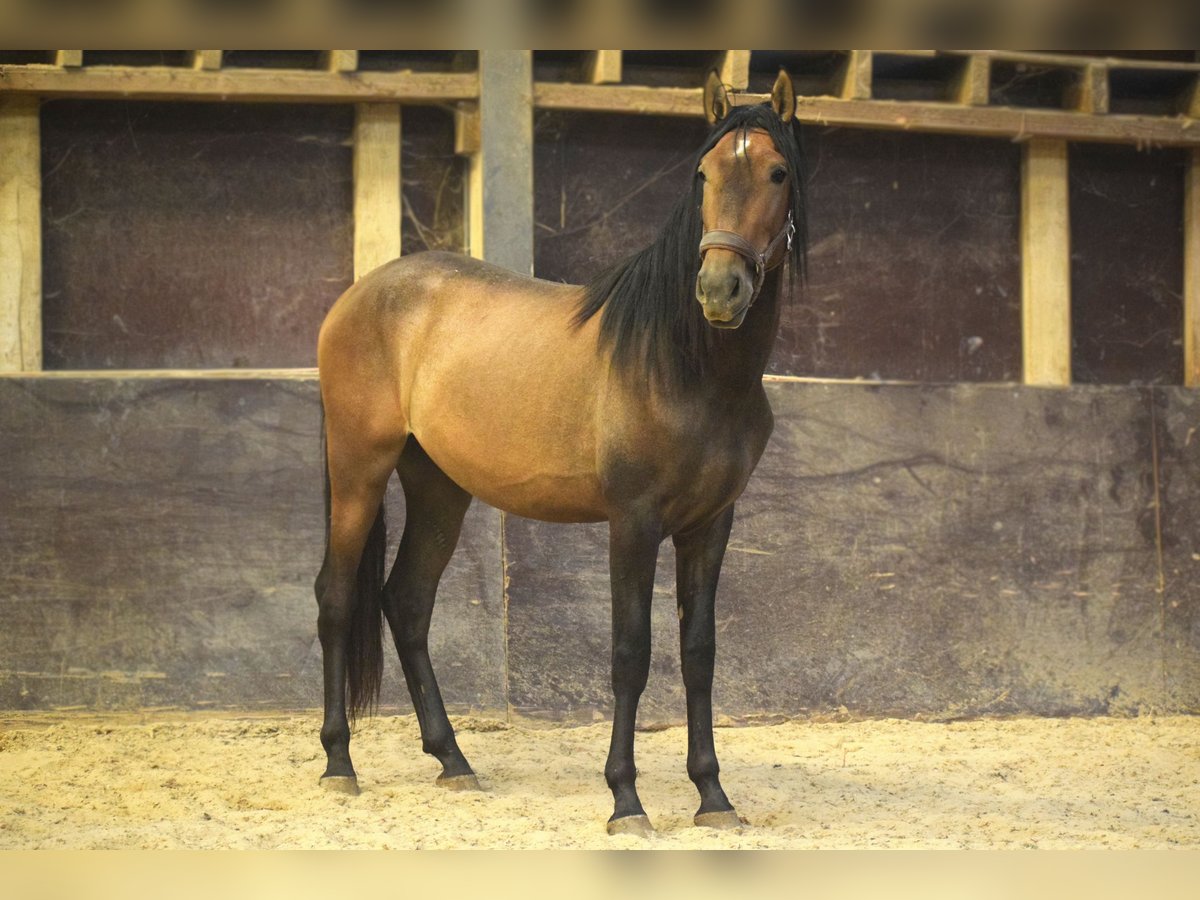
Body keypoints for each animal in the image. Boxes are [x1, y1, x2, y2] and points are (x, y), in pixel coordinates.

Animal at [314, 70, 811, 840]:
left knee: (408, 601)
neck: (685, 366)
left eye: (777, 172)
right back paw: (340, 764)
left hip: (439, 489)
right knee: (337, 597)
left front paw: (713, 797)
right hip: (358, 468)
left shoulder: (710, 526)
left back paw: (453, 761)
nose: (718, 290)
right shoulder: (632, 524)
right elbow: (630, 654)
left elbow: (698, 654)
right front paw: (626, 800)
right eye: (702, 173)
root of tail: (362, 295)